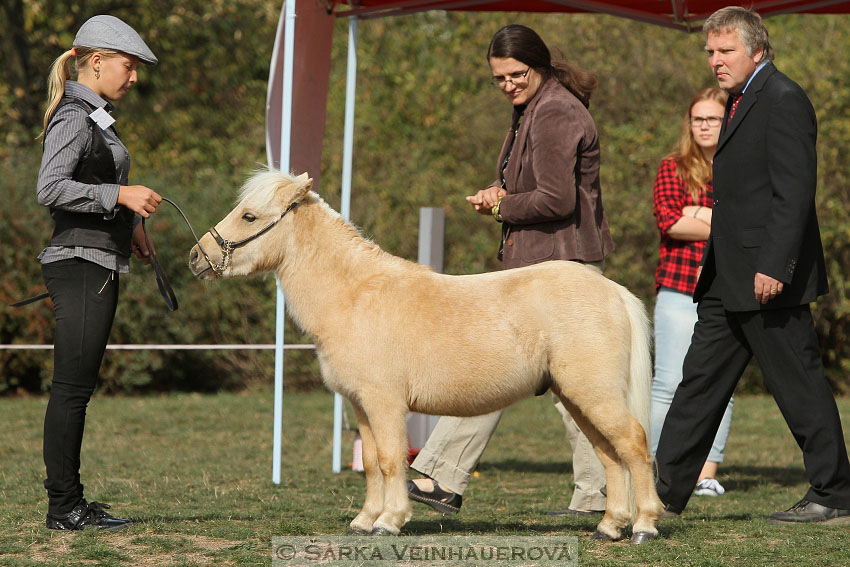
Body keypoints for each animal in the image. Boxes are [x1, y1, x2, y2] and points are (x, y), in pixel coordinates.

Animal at [189, 171, 664, 544]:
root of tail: (613, 292)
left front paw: (389, 521)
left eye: (250, 216)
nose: (196, 256)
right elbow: (372, 464)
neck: (355, 293)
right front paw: (364, 520)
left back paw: (644, 526)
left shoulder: (385, 403)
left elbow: (389, 459)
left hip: (594, 394)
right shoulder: (361, 404)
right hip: (578, 397)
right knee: (609, 454)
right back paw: (610, 526)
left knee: (634, 445)